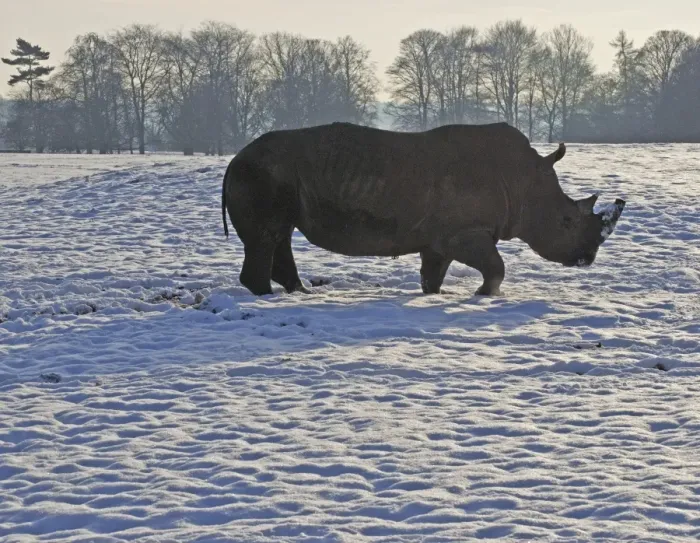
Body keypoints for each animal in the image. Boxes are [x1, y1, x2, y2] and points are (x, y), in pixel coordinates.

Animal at [221, 122, 625, 296]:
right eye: (567, 220)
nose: (587, 258)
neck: (527, 182)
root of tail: (233, 160)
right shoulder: (465, 232)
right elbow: (496, 266)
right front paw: (485, 296)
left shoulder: (440, 237)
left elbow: (433, 273)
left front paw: (434, 295)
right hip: (260, 173)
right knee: (268, 236)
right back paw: (267, 297)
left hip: (270, 175)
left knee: (281, 235)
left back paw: (299, 293)